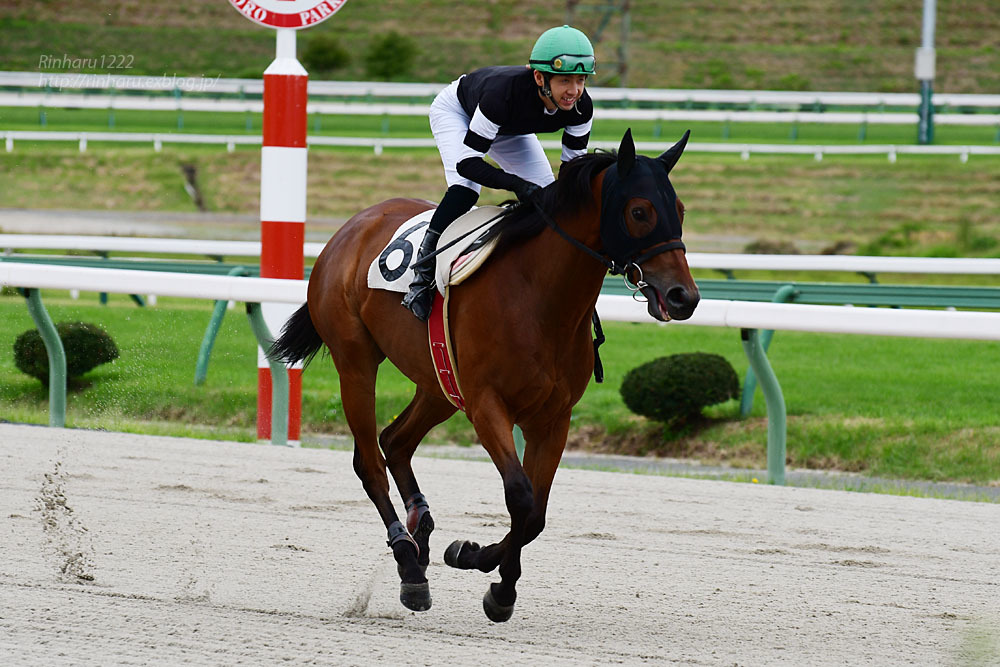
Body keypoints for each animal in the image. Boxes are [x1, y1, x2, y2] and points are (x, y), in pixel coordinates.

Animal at [270, 129, 700, 620]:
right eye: (639, 211)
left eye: (679, 210)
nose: (684, 296)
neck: (539, 297)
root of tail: (349, 228)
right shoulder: (487, 404)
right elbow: (520, 495)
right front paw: (489, 578)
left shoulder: (553, 418)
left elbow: (536, 515)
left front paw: (482, 566)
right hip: (356, 363)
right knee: (369, 460)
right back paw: (408, 563)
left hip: (438, 381)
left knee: (394, 441)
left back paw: (421, 534)